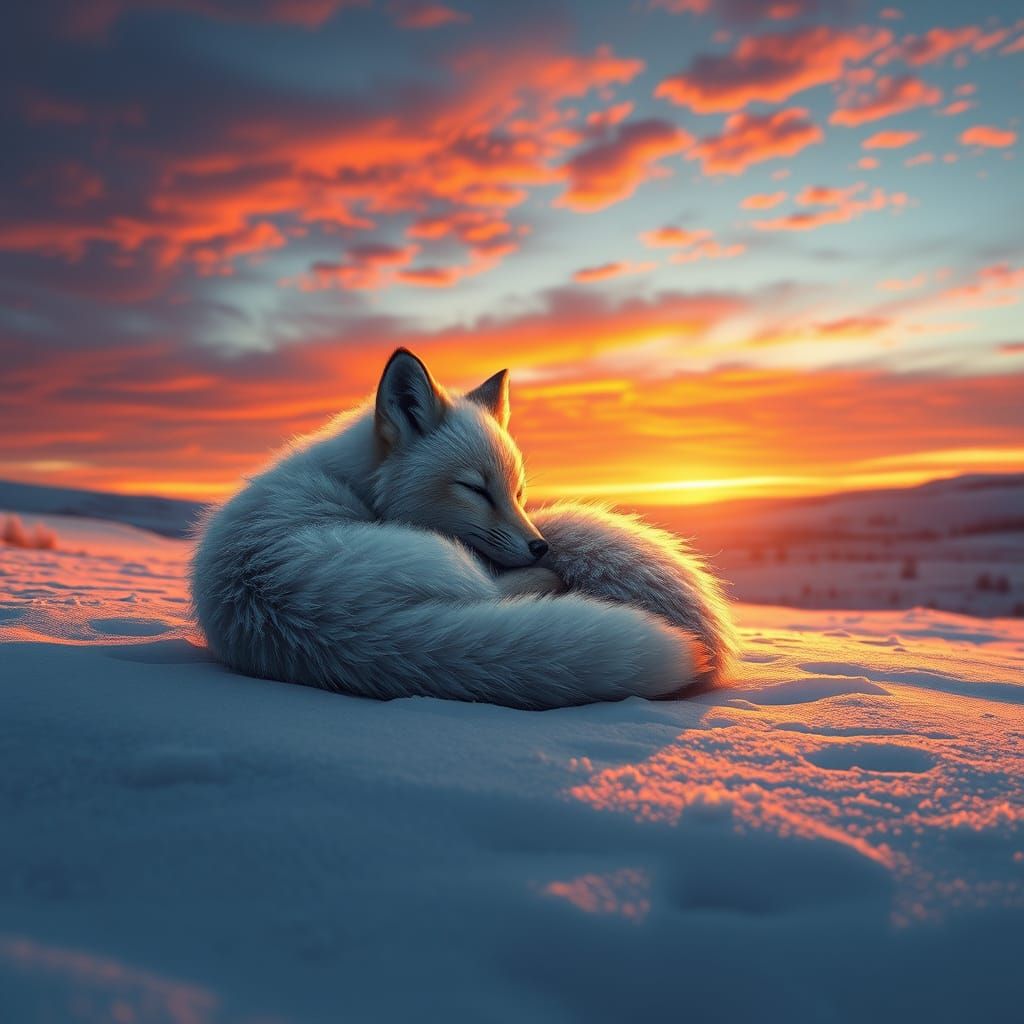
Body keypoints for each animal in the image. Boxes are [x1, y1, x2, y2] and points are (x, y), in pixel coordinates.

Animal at [190, 348, 737, 710]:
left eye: (518, 492)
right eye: (475, 489)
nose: (541, 547)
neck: (357, 485)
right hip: (455, 563)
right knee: (500, 591)